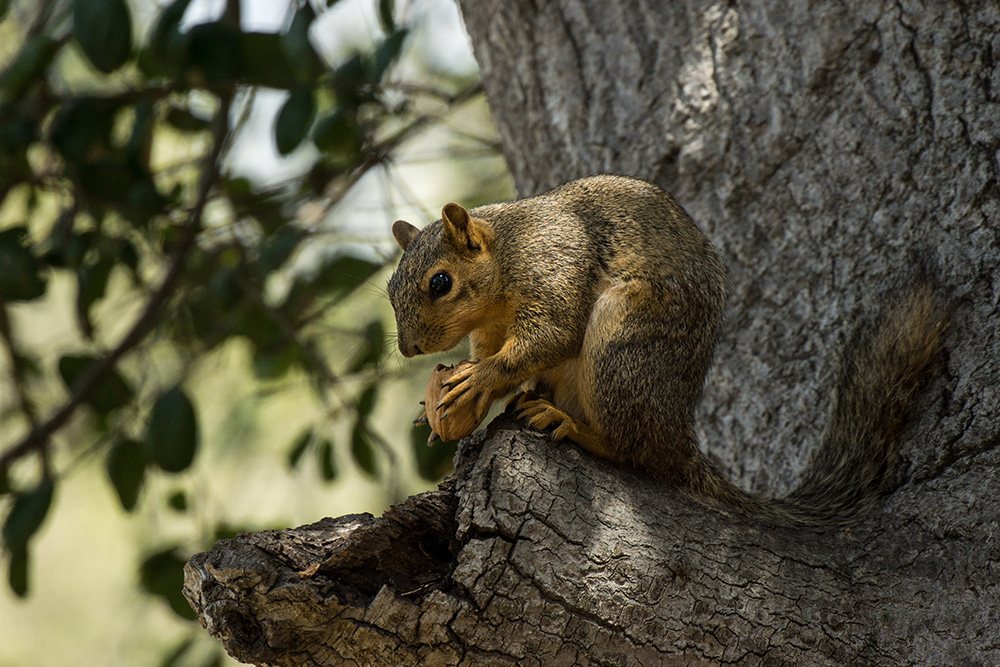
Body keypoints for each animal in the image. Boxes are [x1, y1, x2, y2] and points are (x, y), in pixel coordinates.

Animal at [387, 175, 946, 525]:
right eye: (392, 287)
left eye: (440, 282)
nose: (410, 348)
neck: (506, 255)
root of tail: (678, 433)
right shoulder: (487, 331)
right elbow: (497, 354)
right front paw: (450, 403)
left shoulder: (555, 268)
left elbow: (552, 336)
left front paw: (477, 381)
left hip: (623, 341)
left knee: (635, 451)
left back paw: (572, 426)